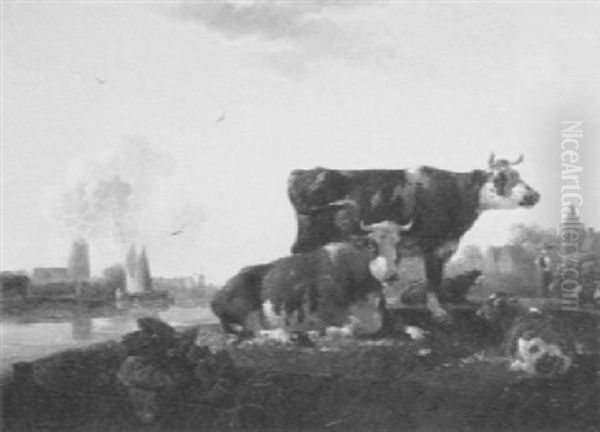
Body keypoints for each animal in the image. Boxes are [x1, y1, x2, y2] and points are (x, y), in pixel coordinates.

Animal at [211, 219, 412, 340]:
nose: (391, 275)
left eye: (398, 244)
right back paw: (289, 334)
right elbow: (355, 326)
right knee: (254, 331)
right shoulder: (321, 313)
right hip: (244, 310)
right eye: (372, 246)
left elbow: (401, 325)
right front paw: (327, 331)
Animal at [288, 154, 540, 318]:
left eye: (517, 174)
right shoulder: (433, 248)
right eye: (499, 178)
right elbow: (433, 281)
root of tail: (305, 171)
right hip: (308, 237)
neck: (453, 193)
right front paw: (438, 311)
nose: (534, 196)